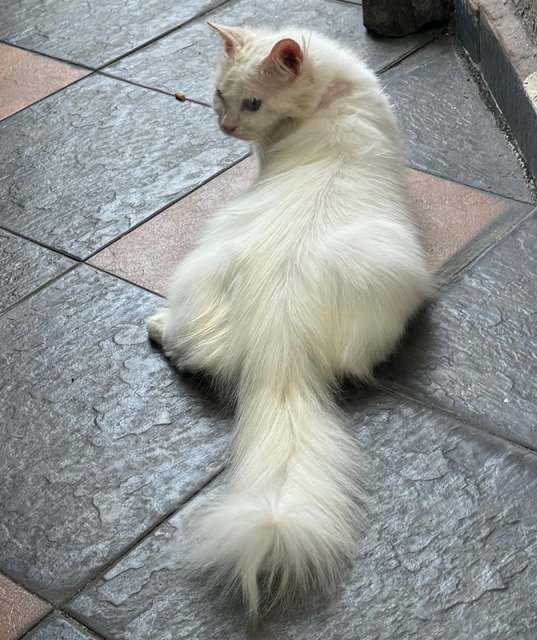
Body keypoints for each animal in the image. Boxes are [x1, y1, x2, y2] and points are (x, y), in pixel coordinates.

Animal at [147, 23, 432, 616]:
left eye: (253, 103)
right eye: (220, 96)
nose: (228, 125)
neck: (329, 98)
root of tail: (277, 349)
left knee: (184, 349)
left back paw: (157, 326)